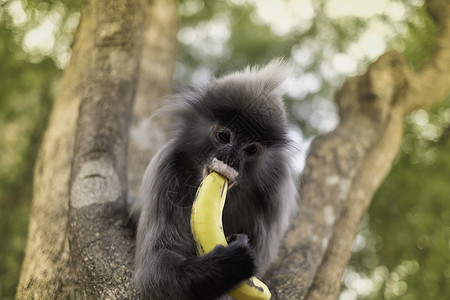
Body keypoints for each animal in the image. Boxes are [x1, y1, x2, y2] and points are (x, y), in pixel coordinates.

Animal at [130, 59, 298, 298]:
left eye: (251, 149)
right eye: (224, 136)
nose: (230, 158)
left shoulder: (275, 195)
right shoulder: (165, 170)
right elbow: (151, 272)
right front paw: (232, 261)